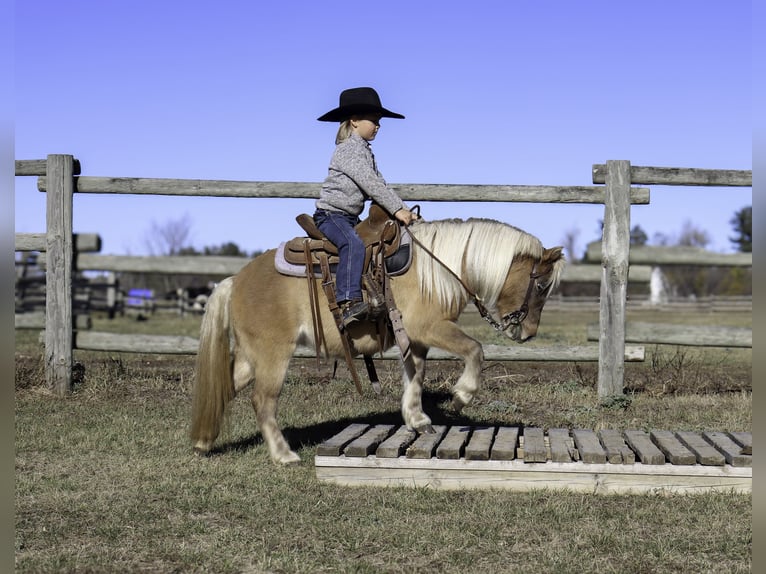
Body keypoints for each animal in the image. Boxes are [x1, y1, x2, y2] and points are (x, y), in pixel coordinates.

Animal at [190, 218, 568, 466]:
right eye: (540, 285)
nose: (528, 333)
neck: (439, 267)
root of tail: (234, 280)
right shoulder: (430, 327)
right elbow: (475, 350)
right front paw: (462, 396)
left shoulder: (414, 338)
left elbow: (416, 374)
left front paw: (417, 419)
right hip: (272, 354)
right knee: (262, 401)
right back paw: (283, 455)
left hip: (250, 356)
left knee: (226, 386)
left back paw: (204, 441)